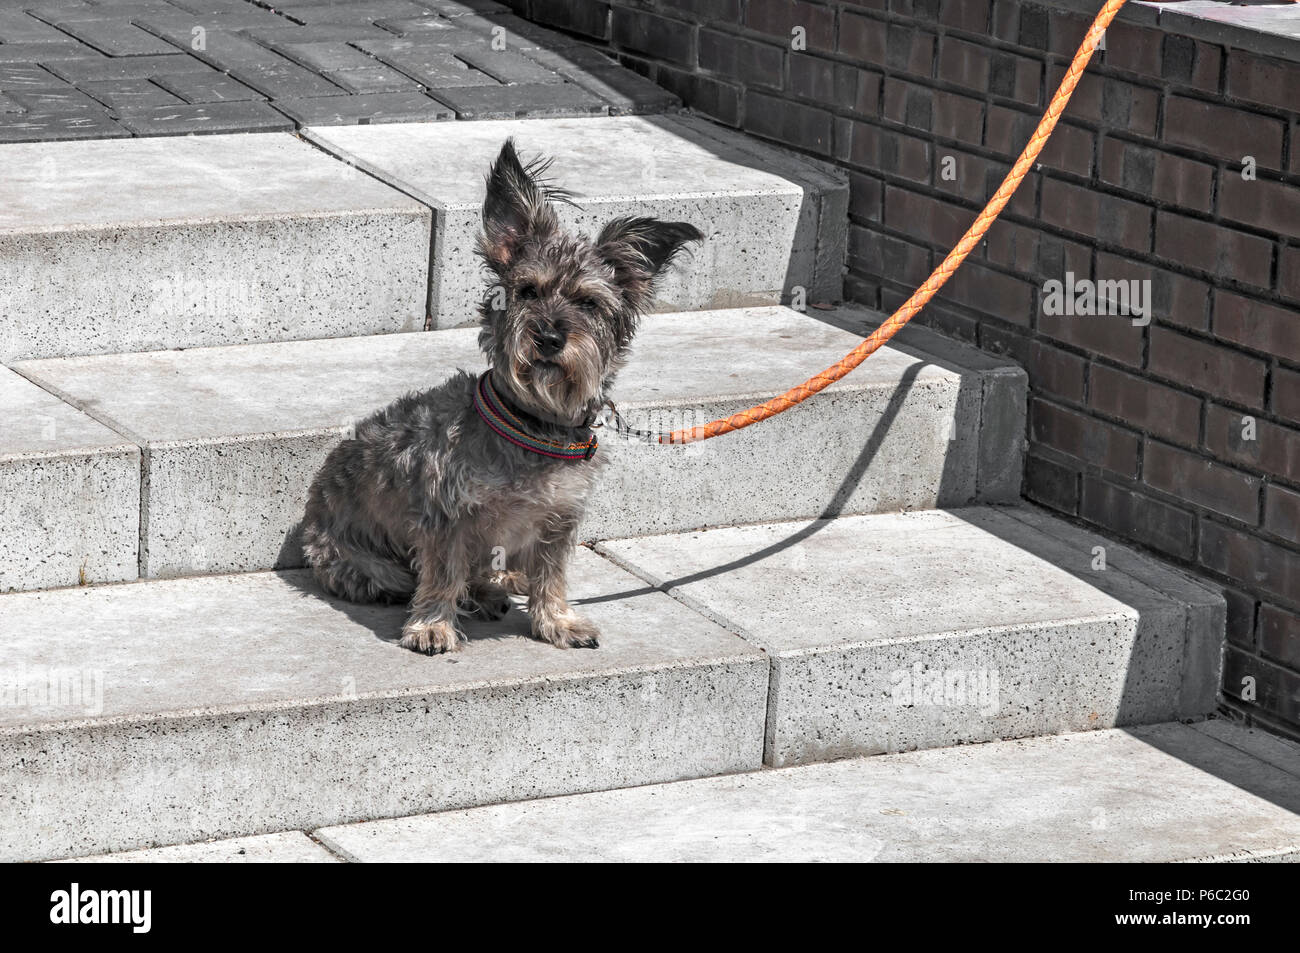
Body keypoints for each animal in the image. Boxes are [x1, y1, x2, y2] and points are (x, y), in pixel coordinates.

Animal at [301, 135, 702, 655]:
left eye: (589, 302)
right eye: (528, 291)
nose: (549, 337)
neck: (532, 424)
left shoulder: (559, 519)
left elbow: (550, 577)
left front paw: (557, 621)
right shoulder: (446, 514)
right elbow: (442, 574)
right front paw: (432, 626)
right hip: (369, 563)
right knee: (407, 577)